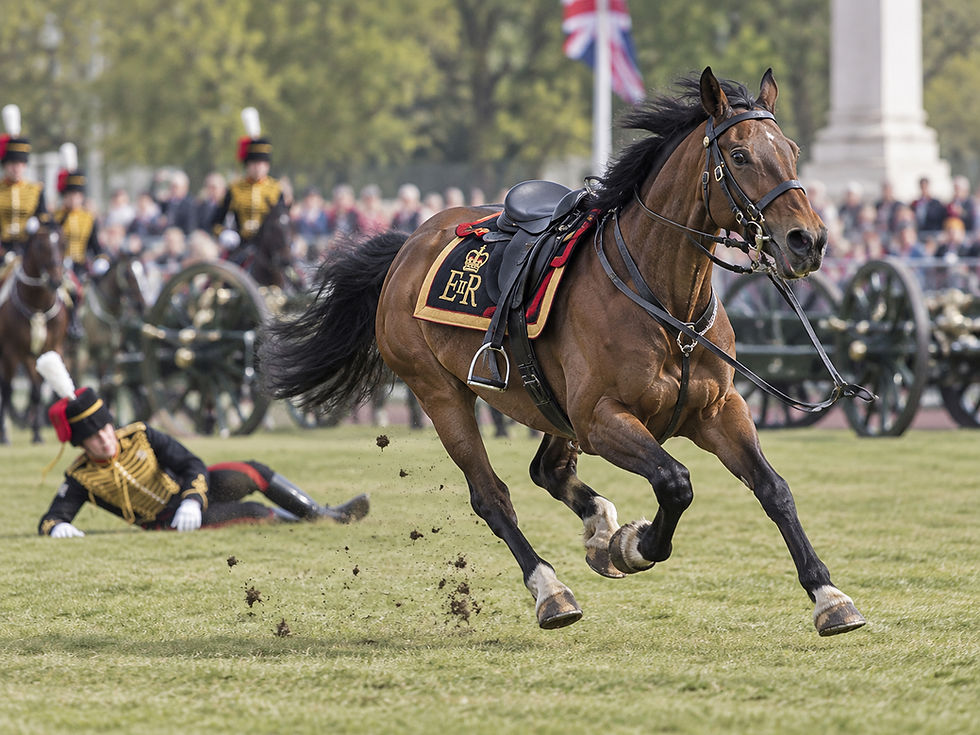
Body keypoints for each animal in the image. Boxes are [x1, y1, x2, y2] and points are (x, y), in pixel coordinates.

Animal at [0, 219, 69, 443]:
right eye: (40, 246)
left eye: (63, 243)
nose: (56, 280)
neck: (37, 304)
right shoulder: (12, 352)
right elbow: (8, 389)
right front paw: (5, 435)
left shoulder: (48, 350)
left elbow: (37, 392)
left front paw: (37, 433)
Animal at [260, 68, 867, 636]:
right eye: (739, 155)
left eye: (792, 151)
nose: (808, 241)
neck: (661, 302)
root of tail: (409, 243)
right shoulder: (602, 420)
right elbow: (675, 483)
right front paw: (635, 544)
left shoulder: (718, 411)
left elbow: (774, 490)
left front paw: (829, 596)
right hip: (443, 396)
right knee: (492, 496)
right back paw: (551, 589)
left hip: (545, 404)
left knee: (546, 471)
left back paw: (597, 526)